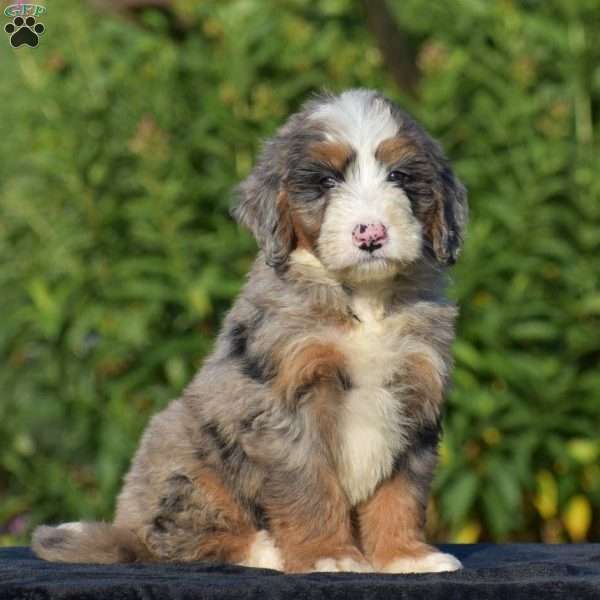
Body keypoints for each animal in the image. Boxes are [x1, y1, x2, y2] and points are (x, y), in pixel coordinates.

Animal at [32, 88, 468, 572]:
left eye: (399, 175)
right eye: (326, 182)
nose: (370, 233)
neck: (363, 302)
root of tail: (125, 527)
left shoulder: (416, 395)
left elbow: (401, 493)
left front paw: (405, 557)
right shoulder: (287, 404)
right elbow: (311, 489)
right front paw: (328, 556)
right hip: (186, 462)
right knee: (175, 538)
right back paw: (267, 550)